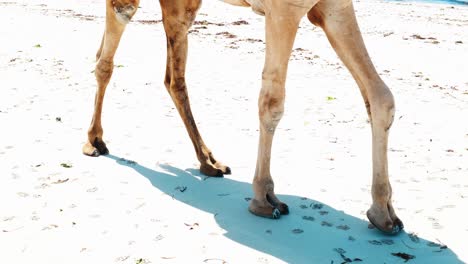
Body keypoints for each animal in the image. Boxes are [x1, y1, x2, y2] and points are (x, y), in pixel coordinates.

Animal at [82, 0, 404, 235]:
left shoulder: (335, 7)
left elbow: (382, 97)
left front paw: (383, 213)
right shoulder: (284, 10)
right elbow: (272, 102)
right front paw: (264, 198)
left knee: (168, 76)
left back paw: (208, 161)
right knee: (113, 43)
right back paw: (95, 141)